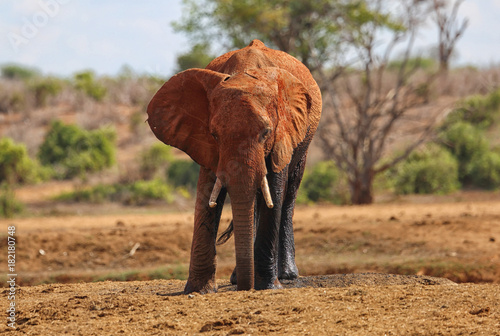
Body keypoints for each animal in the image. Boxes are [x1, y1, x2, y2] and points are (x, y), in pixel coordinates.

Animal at [146, 38, 322, 292]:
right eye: (214, 135)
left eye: (266, 133)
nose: (246, 288)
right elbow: (207, 191)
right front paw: (199, 289)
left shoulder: (283, 131)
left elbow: (274, 189)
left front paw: (268, 286)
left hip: (304, 140)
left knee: (288, 194)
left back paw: (286, 275)